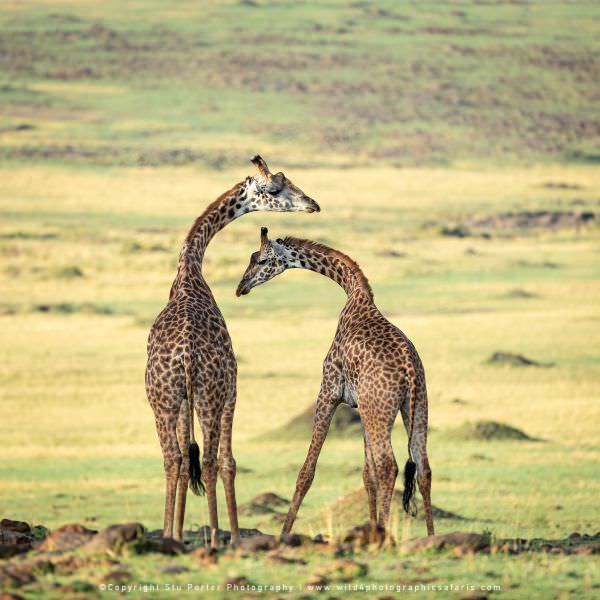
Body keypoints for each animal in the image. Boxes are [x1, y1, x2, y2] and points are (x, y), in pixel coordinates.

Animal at [145, 156, 318, 548]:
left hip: (162, 400)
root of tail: (186, 357)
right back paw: (214, 537)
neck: (189, 270)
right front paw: (234, 534)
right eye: (276, 188)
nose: (313, 204)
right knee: (208, 461)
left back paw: (169, 535)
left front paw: (178, 532)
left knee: (173, 458)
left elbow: (185, 460)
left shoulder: (184, 400)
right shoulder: (233, 386)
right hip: (208, 397)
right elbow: (228, 462)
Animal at [236, 227, 436, 536]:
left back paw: (385, 536)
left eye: (261, 259)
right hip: (414, 407)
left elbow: (307, 471)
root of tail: (409, 371)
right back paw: (430, 535)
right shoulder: (361, 406)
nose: (241, 286)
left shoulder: (329, 390)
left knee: (389, 466)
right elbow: (367, 475)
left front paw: (284, 533)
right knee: (422, 467)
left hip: (380, 409)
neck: (354, 295)